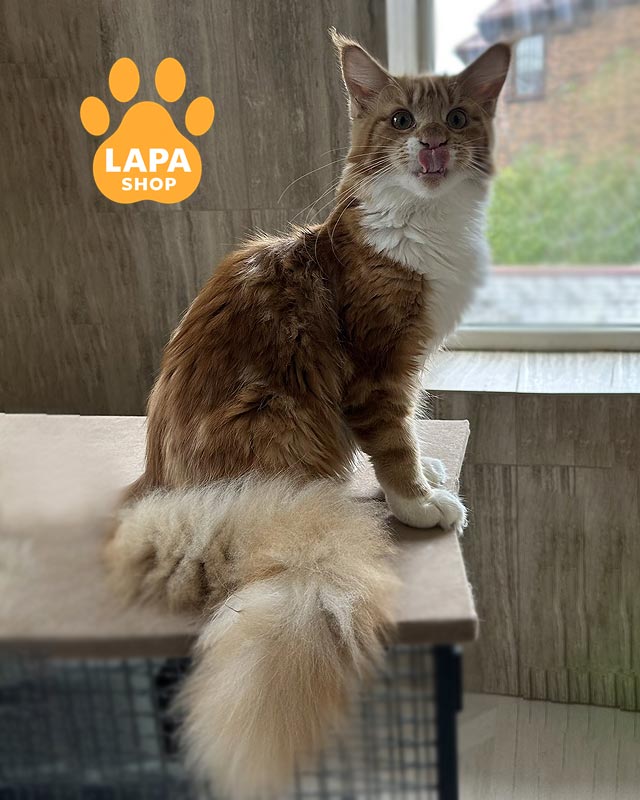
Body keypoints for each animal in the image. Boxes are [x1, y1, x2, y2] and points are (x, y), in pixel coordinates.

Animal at [106, 30, 510, 799]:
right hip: (277, 414)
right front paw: (418, 503)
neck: (427, 228)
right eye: (401, 121)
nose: (434, 144)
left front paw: (427, 474)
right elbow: (395, 443)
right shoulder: (380, 369)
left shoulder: (411, 365)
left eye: (458, 118)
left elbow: (412, 429)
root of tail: (162, 491)